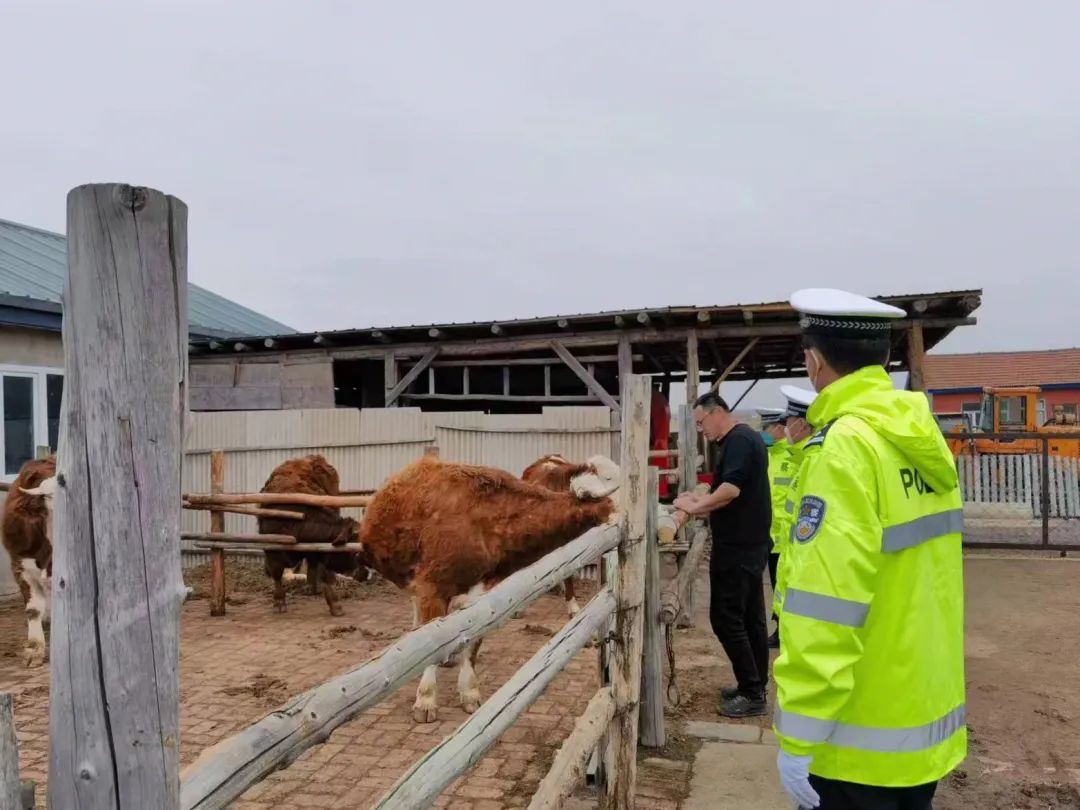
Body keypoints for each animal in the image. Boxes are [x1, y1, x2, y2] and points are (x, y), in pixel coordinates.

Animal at [356, 453, 617, 725]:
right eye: (610, 507)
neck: (485, 522)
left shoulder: (486, 597)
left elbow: (473, 644)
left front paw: (469, 692)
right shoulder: (431, 588)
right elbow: (428, 643)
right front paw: (426, 700)